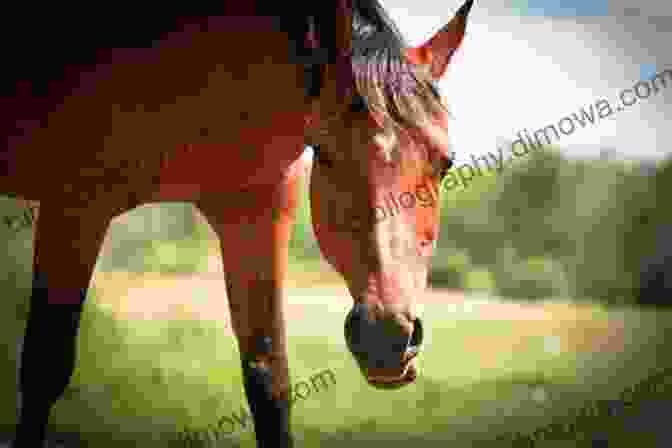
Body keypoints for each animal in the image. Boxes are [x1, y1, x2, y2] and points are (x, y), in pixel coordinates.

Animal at [1, 1, 472, 446]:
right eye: (326, 153)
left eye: (446, 164)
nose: (387, 337)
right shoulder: (75, 205)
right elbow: (44, 369)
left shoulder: (258, 214)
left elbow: (270, 381)